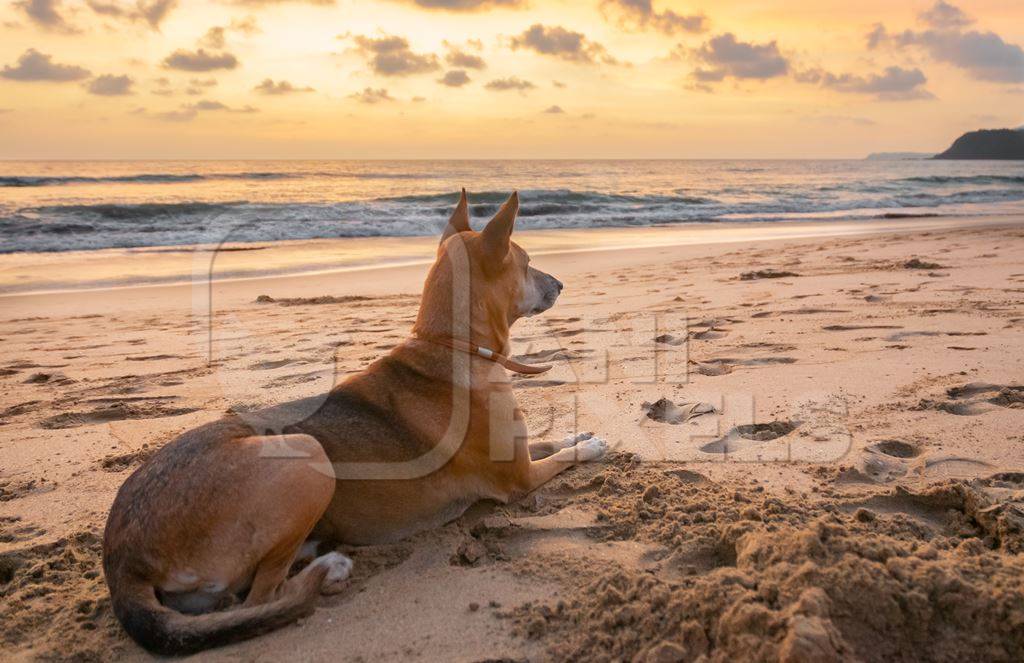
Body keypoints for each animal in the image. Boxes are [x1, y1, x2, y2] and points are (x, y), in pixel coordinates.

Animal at [101, 190, 606, 651]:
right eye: (527, 263)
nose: (561, 284)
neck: (451, 346)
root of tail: (122, 560)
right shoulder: (519, 479)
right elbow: (559, 457)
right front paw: (591, 446)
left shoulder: (517, 452)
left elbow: (548, 441)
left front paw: (578, 431)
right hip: (306, 456)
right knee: (262, 597)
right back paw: (328, 568)